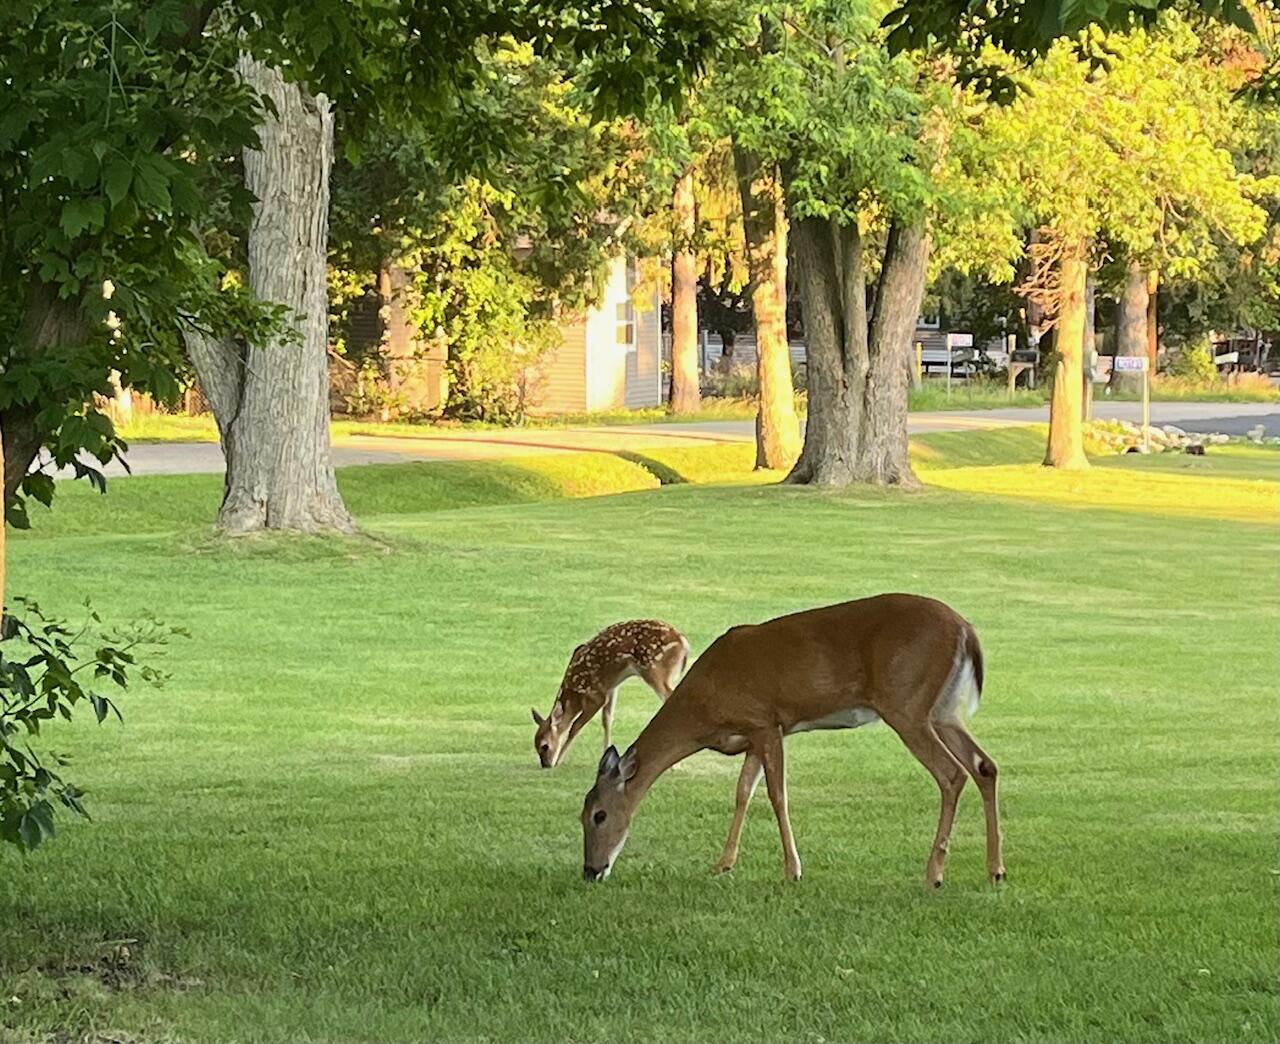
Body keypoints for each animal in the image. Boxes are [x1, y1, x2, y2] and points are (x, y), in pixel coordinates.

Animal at [532, 620, 691, 769]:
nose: (546, 765)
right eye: (535, 746)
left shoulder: (596, 696)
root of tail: (683, 642)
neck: (575, 693)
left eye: (544, 746)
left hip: (655, 670)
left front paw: (558, 761)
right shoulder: (610, 688)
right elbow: (607, 720)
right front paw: (605, 755)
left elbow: (575, 726)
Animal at [579, 594, 1004, 889]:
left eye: (599, 815)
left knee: (952, 773)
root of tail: (967, 630)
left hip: (907, 704)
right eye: (580, 816)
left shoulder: (768, 722)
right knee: (984, 765)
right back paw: (995, 870)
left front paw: (792, 870)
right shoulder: (753, 735)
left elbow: (777, 795)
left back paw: (934, 875)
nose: (590, 870)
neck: (704, 709)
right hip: (943, 710)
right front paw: (723, 864)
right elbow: (742, 793)